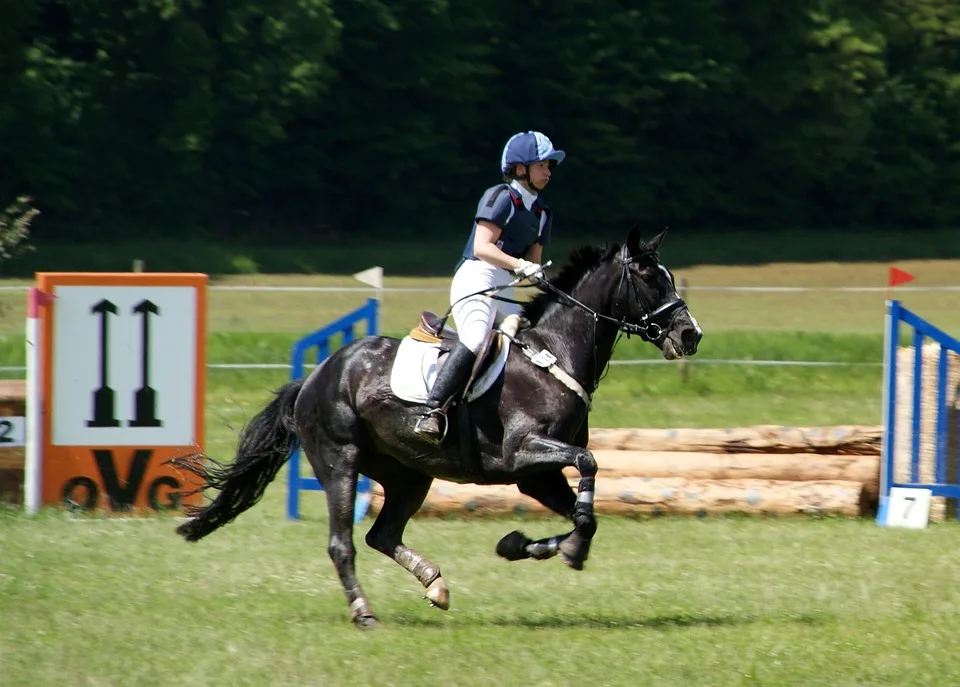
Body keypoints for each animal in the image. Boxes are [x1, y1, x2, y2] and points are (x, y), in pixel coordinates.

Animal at [169, 226, 700, 628]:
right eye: (649, 278)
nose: (690, 334)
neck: (555, 354)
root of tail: (316, 375)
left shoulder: (538, 475)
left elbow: (584, 515)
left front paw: (533, 547)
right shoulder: (523, 453)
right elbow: (588, 466)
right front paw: (560, 549)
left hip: (408, 474)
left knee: (381, 535)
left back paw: (435, 584)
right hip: (340, 461)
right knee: (343, 543)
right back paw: (364, 613)